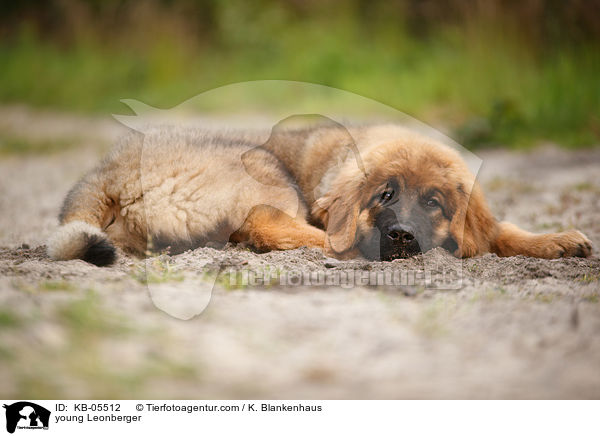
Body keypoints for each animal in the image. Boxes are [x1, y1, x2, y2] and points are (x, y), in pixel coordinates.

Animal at [47, 119, 592, 266]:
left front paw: (557, 241)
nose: (401, 237)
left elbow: (501, 231)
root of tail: (106, 174)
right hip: (263, 169)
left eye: (433, 203)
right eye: (383, 197)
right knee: (267, 228)